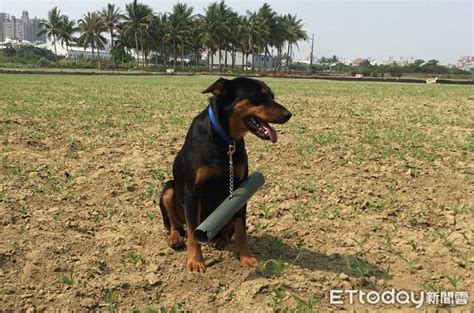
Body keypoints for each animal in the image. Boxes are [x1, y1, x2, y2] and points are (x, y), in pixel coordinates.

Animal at [159, 77, 292, 272]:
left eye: (272, 96)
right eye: (259, 96)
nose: (288, 114)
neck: (225, 139)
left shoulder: (241, 187)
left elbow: (241, 229)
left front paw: (246, 257)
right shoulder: (192, 191)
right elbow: (192, 230)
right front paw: (195, 261)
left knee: (229, 228)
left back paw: (220, 240)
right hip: (168, 189)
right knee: (174, 223)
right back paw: (175, 238)